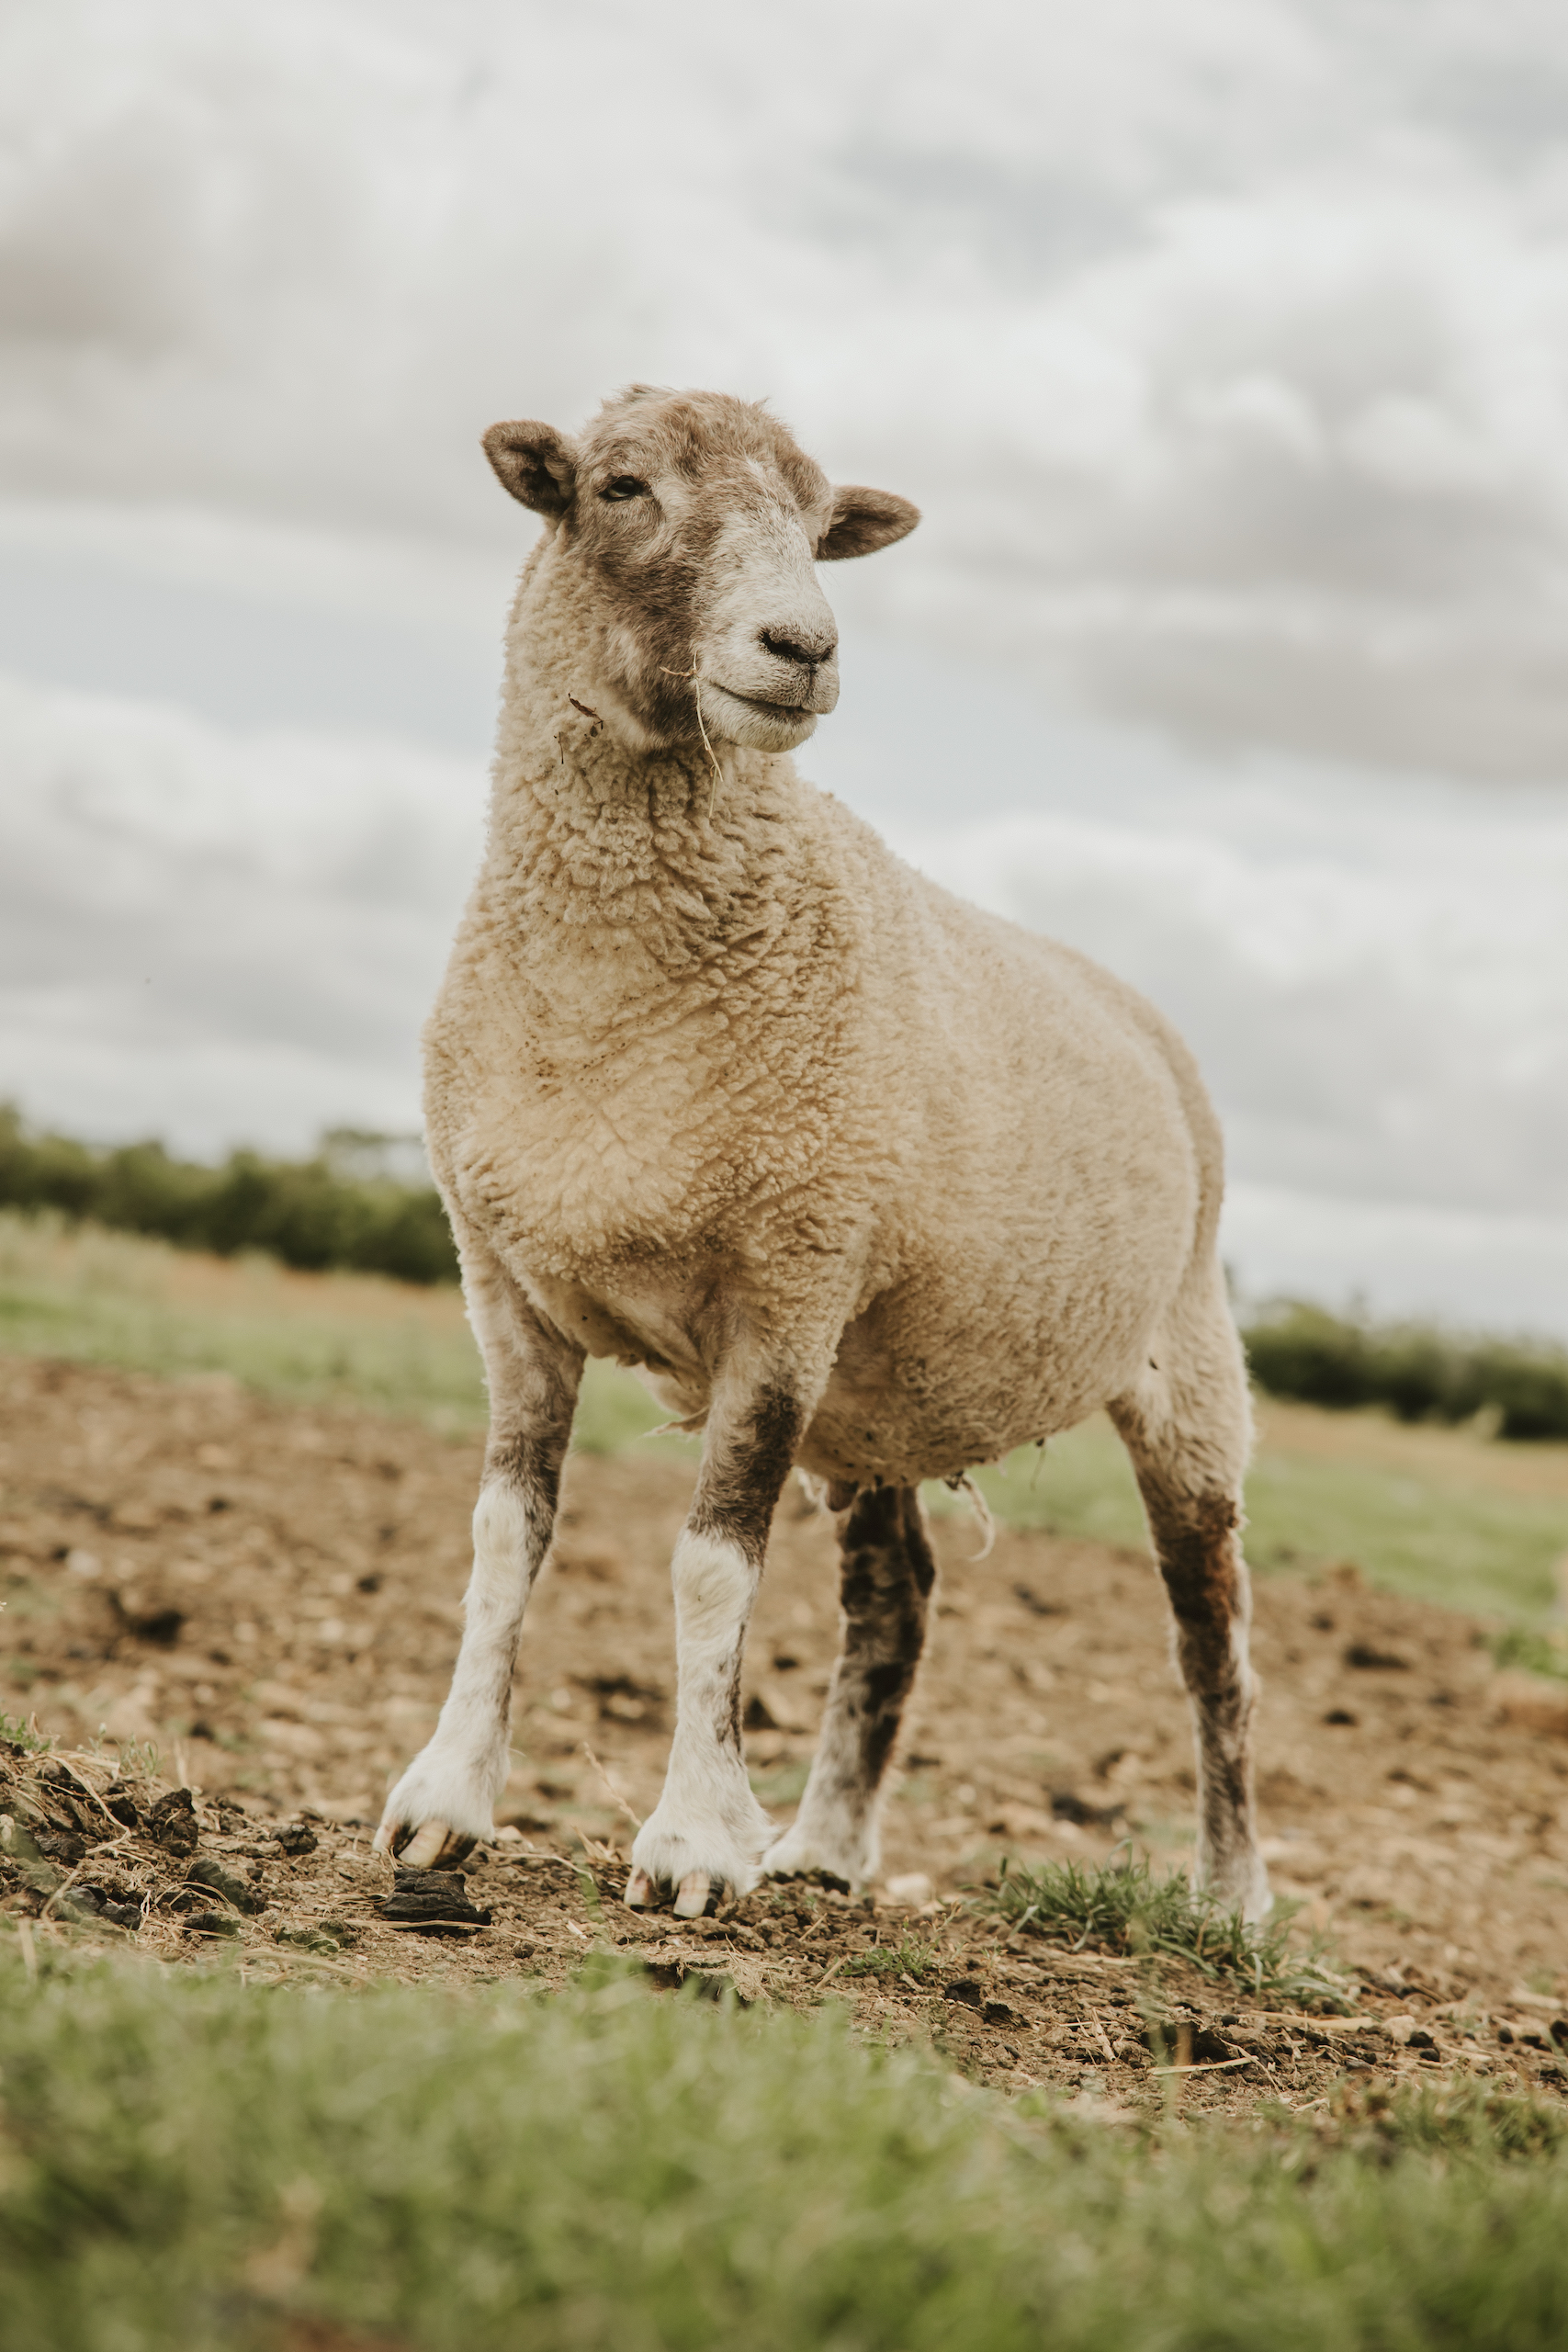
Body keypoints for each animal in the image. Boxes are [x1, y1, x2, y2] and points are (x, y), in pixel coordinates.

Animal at [380, 390, 1279, 1928]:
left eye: (815, 528)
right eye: (620, 487)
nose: (802, 646)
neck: (603, 1005)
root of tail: (1138, 1008)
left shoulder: (786, 1291)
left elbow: (709, 1569)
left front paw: (689, 1845)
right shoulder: (503, 1283)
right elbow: (505, 1539)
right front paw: (444, 1806)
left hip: (1183, 1367)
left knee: (1205, 1629)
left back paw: (1226, 1898)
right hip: (878, 1394)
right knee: (897, 1596)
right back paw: (823, 1851)